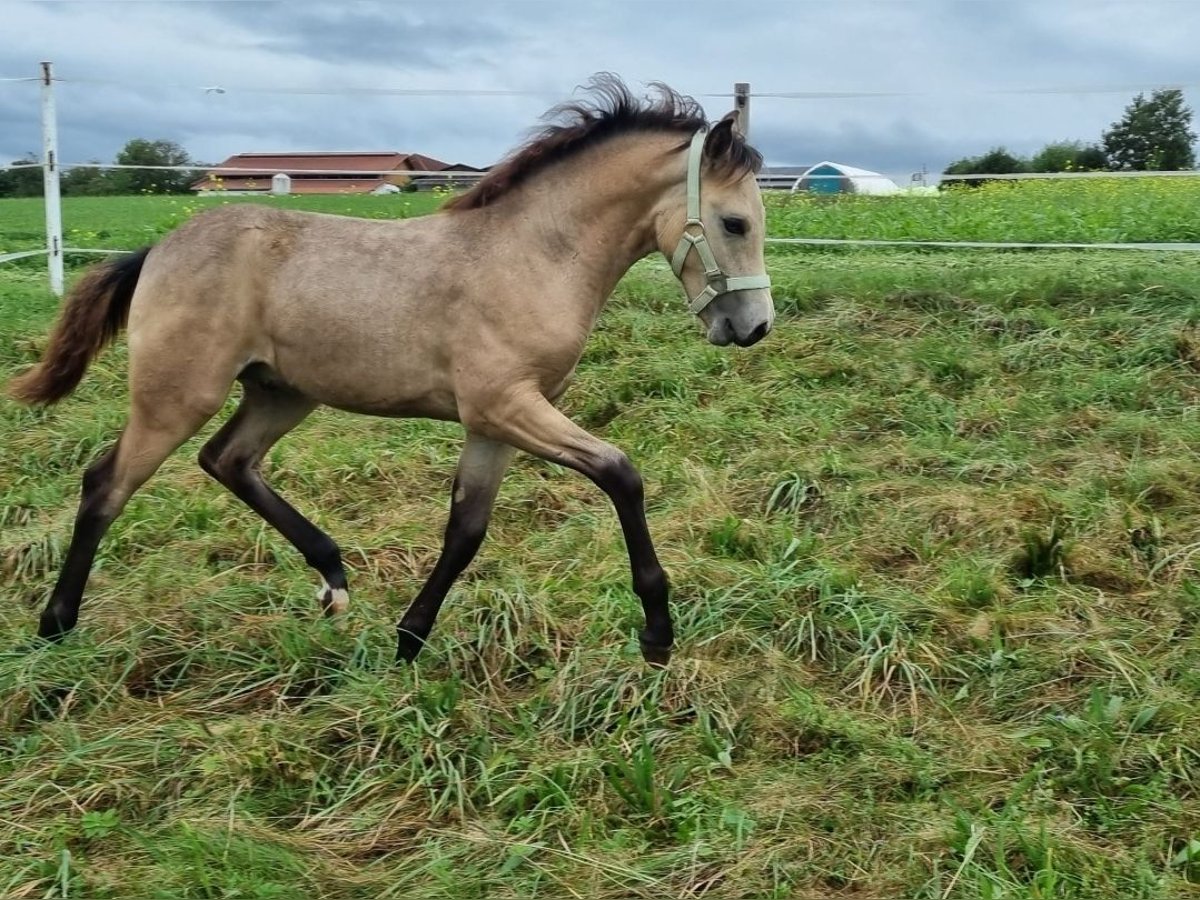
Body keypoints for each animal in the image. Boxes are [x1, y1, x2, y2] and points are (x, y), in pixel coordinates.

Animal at [9, 77, 772, 667]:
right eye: (734, 223)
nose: (753, 327)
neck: (532, 254)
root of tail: (157, 251)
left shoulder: (493, 422)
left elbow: (465, 530)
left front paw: (409, 639)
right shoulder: (506, 406)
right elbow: (621, 473)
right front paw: (658, 631)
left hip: (281, 393)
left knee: (226, 459)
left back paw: (332, 576)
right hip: (177, 396)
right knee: (107, 484)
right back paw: (54, 625)